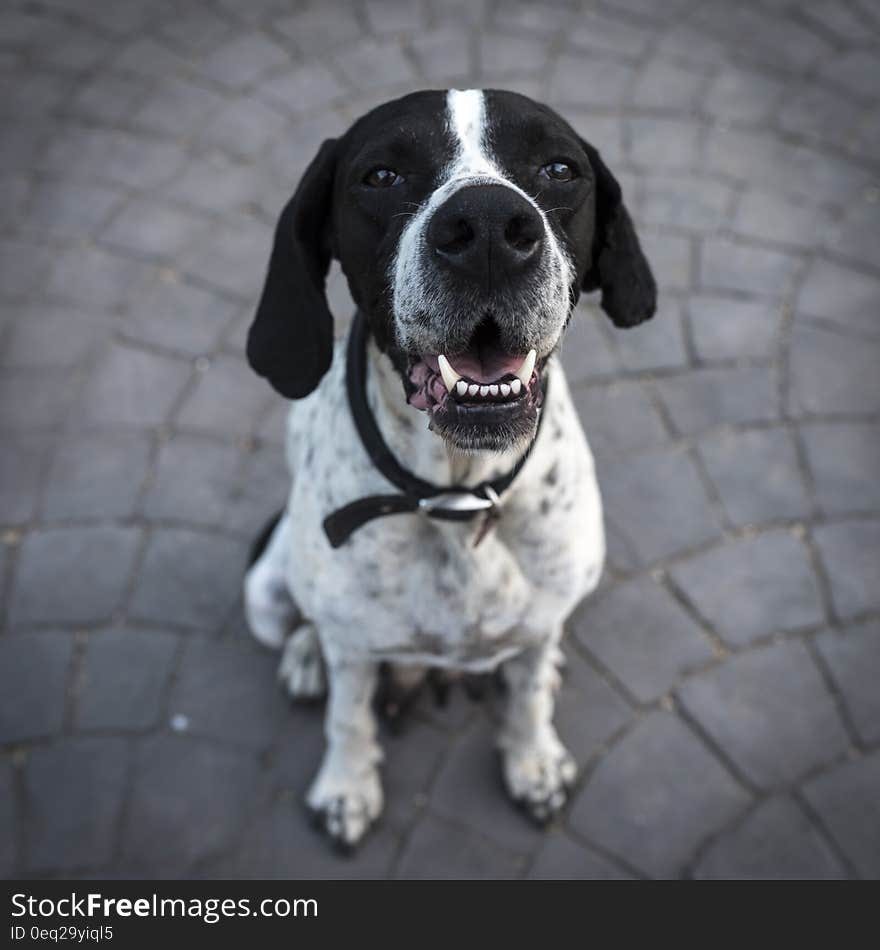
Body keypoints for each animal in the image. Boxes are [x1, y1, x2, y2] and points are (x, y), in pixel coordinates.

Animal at [241, 87, 652, 848]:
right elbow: (348, 716)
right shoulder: (353, 648)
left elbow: (526, 698)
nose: (488, 225)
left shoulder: (545, 614)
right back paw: (307, 654)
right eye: (381, 176)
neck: (457, 494)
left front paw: (533, 762)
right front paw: (345, 788)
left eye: (559, 168)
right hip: (264, 588)